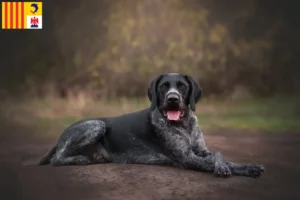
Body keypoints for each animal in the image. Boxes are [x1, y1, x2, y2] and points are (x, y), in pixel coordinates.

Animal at [38, 73, 264, 178]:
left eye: (182, 86)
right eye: (164, 86)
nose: (172, 99)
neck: (184, 124)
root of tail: (62, 134)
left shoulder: (200, 150)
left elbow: (220, 155)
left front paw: (246, 167)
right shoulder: (185, 158)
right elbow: (212, 160)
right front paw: (224, 168)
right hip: (97, 124)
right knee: (57, 158)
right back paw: (77, 159)